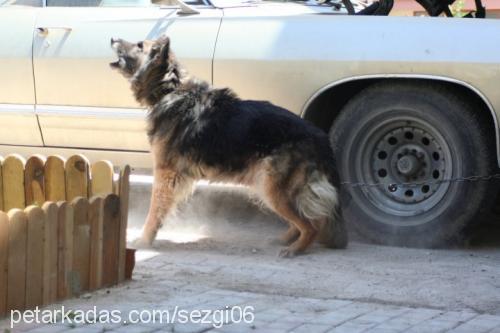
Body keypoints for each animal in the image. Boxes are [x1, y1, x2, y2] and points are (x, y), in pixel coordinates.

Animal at [110, 36, 348, 256]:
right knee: (309, 218)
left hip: (271, 187)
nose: (112, 38)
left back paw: (296, 248)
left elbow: (154, 211)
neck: (170, 89)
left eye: (139, 45)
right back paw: (287, 239)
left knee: (312, 224)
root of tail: (320, 136)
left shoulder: (165, 174)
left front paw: (144, 240)